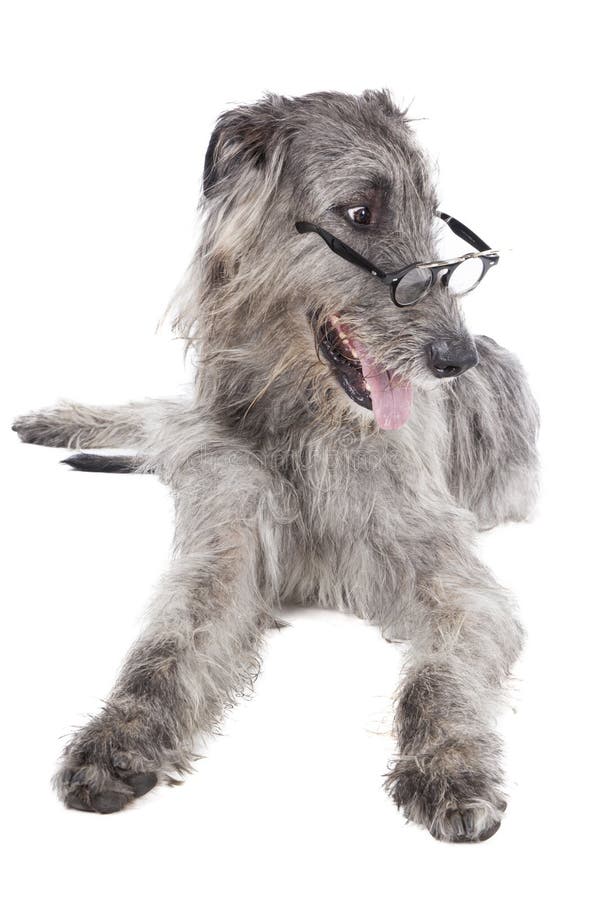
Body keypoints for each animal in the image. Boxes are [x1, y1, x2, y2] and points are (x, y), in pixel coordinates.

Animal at [12, 88, 540, 840]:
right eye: (359, 212)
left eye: (429, 216)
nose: (454, 359)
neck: (305, 420)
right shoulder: (226, 533)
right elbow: (168, 642)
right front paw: (120, 736)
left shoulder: (447, 567)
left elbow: (440, 671)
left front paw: (449, 764)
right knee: (157, 416)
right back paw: (55, 421)